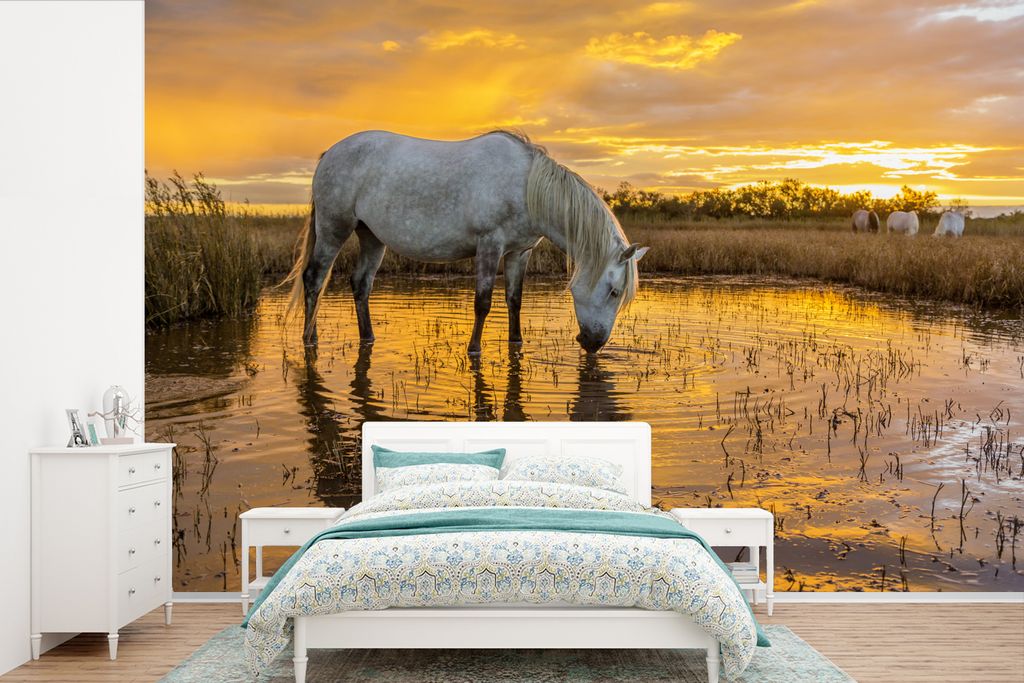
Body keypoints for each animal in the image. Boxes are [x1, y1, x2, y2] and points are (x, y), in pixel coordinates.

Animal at [285, 130, 648, 355]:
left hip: (371, 236)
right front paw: (474, 348)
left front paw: (516, 342)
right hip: (334, 228)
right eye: (614, 291)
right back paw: (309, 338)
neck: (526, 186)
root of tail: (329, 153)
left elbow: (514, 300)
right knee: (314, 279)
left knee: (361, 284)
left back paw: (368, 337)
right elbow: (483, 302)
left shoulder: (519, 252)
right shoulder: (489, 246)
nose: (593, 343)